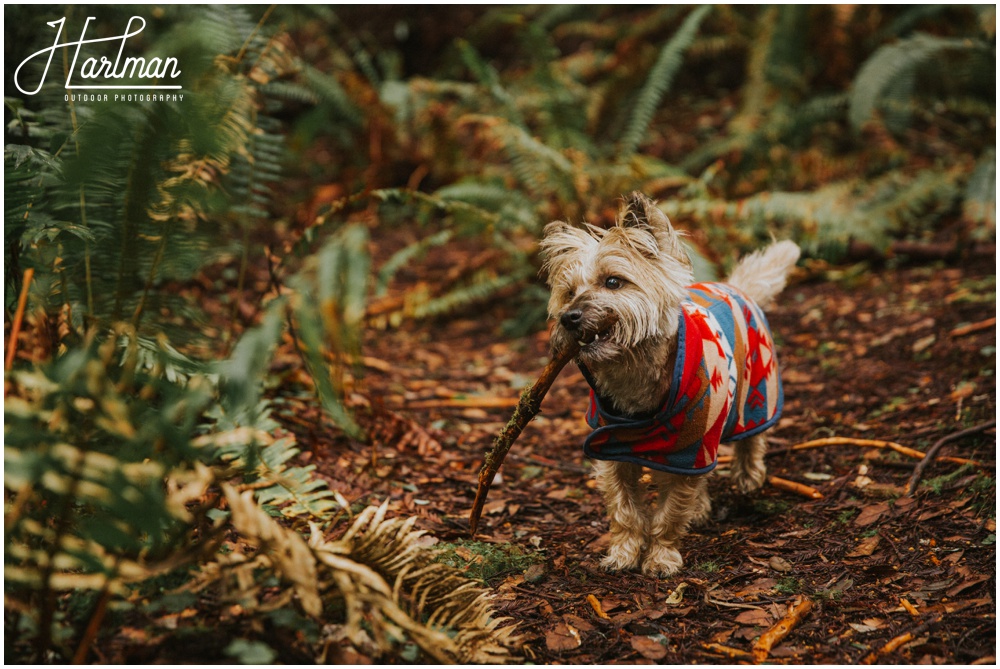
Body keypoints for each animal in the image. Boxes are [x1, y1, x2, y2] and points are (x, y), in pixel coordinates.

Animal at [540, 190, 796, 576]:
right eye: (568, 293)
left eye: (613, 281)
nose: (570, 317)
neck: (633, 371)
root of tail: (733, 286)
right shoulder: (611, 452)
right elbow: (624, 510)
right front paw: (624, 554)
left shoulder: (688, 451)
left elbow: (671, 512)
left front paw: (661, 556)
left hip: (756, 394)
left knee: (751, 440)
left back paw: (749, 476)